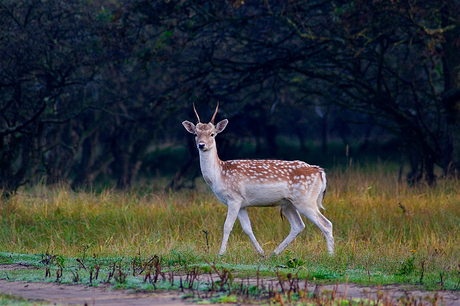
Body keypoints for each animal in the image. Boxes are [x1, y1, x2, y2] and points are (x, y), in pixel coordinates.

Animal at [181, 104, 332, 256]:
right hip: (288, 203)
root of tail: (320, 172)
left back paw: (330, 255)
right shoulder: (242, 203)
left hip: (305, 199)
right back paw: (274, 253)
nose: (201, 145)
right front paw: (261, 253)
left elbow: (227, 226)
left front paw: (220, 254)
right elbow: (247, 228)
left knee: (326, 224)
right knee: (298, 226)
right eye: (195, 134)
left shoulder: (234, 198)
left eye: (212, 134)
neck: (219, 175)